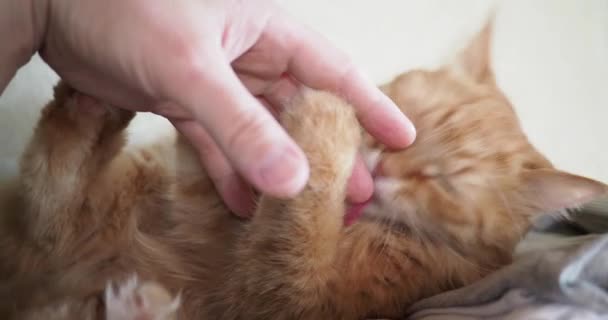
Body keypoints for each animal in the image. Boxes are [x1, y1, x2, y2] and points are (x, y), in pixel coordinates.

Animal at [0, 23, 604, 320]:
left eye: (443, 184)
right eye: (407, 122)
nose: (379, 163)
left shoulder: (282, 301)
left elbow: (293, 235)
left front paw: (324, 123)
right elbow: (198, 173)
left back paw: (138, 305)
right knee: (50, 190)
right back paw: (90, 104)